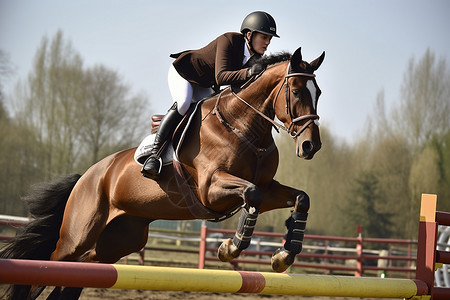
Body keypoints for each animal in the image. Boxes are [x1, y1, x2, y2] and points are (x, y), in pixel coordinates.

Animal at [0, 47, 324, 300]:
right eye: (296, 91)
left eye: (318, 93)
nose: (311, 146)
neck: (242, 126)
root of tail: (86, 177)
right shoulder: (211, 189)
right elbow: (250, 194)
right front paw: (228, 248)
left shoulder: (267, 187)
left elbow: (301, 198)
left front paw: (283, 256)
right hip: (77, 236)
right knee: (49, 267)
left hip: (120, 238)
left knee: (84, 268)